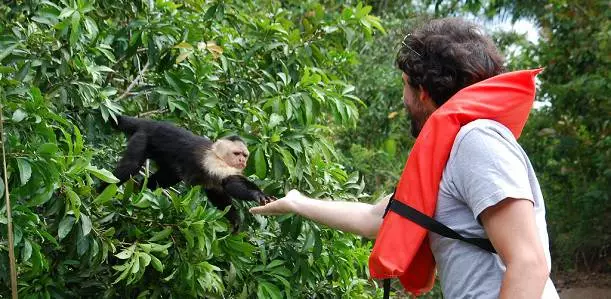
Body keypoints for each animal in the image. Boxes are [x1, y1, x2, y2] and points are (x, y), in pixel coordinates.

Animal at [99, 116, 276, 231]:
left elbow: (218, 192)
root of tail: (149, 123)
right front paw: (258, 194)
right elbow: (230, 182)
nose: (242, 161)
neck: (217, 155)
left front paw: (235, 220)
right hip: (142, 137)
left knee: (168, 177)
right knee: (130, 166)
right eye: (236, 153)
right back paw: (100, 193)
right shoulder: (213, 162)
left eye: (245, 155)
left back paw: (141, 190)